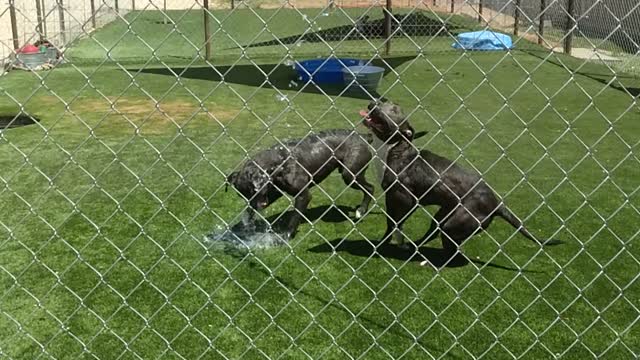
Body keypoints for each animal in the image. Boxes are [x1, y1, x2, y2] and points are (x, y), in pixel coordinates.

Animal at [225, 129, 376, 242]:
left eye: (253, 191)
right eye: (242, 195)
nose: (253, 204)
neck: (278, 163)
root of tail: (363, 136)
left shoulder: (303, 195)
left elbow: (295, 216)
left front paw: (287, 235)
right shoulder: (273, 193)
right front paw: (244, 225)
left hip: (350, 175)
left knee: (370, 188)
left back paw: (362, 210)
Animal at [360, 98, 560, 264]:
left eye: (394, 109)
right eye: (382, 101)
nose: (373, 103)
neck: (393, 148)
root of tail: (497, 204)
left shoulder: (402, 199)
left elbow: (393, 224)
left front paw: (383, 245)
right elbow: (394, 224)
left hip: (454, 222)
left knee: (453, 249)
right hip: (443, 215)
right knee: (438, 237)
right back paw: (418, 248)